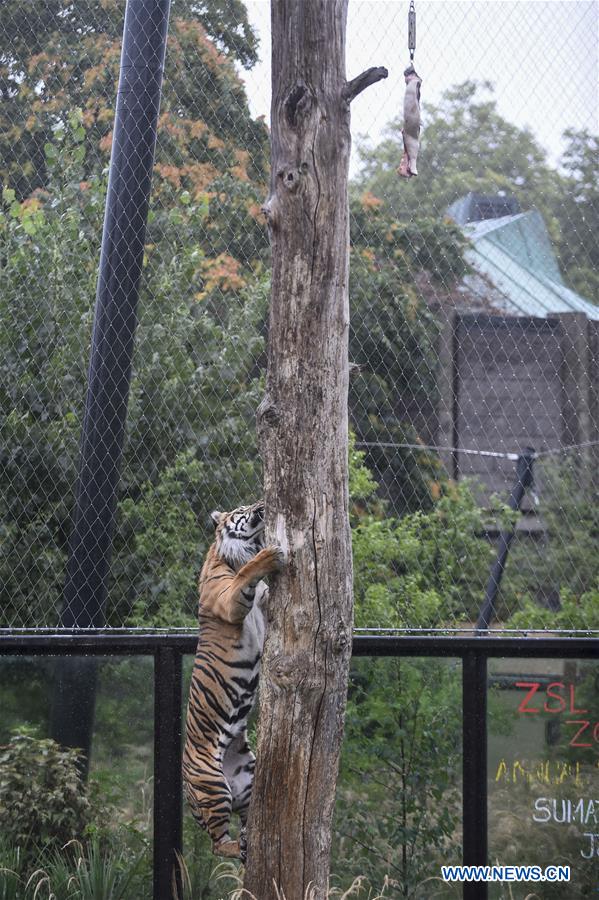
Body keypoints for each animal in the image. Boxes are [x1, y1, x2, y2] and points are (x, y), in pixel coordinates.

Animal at [183, 502, 286, 860]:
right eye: (242, 509)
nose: (262, 504)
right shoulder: (230, 599)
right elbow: (246, 574)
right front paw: (269, 556)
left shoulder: (265, 603)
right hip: (211, 785)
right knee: (216, 844)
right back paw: (234, 846)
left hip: (248, 775)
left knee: (247, 819)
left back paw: (245, 840)